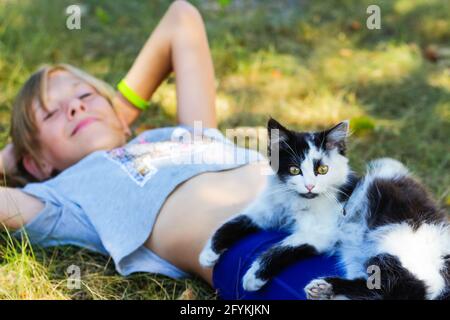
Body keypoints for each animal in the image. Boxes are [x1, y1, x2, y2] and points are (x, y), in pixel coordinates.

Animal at [199, 119, 356, 292]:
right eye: (294, 170)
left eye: (323, 169)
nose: (309, 186)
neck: (294, 201)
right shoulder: (264, 210)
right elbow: (232, 223)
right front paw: (208, 253)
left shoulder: (322, 231)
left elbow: (284, 246)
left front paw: (254, 275)